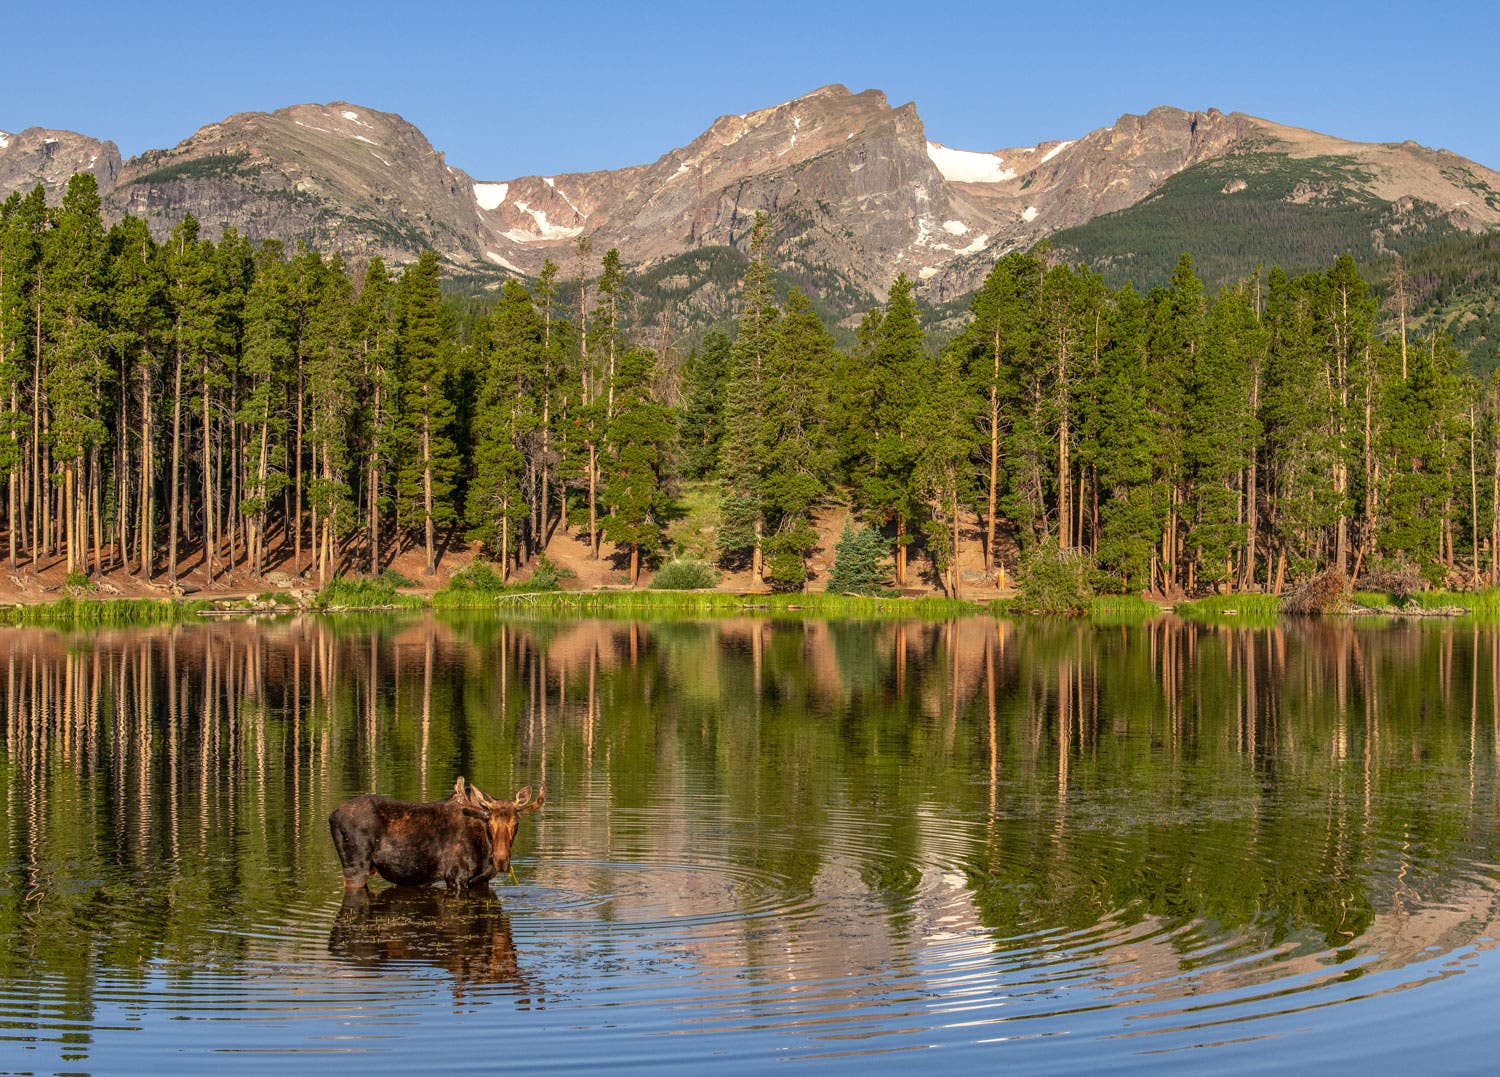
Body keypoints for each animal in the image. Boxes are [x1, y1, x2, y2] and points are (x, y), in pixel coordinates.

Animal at [328, 776, 545, 891]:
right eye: (489, 823)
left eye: (516, 823)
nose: (501, 860)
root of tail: (331, 816)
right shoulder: (455, 877)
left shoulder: (482, 881)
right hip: (355, 868)